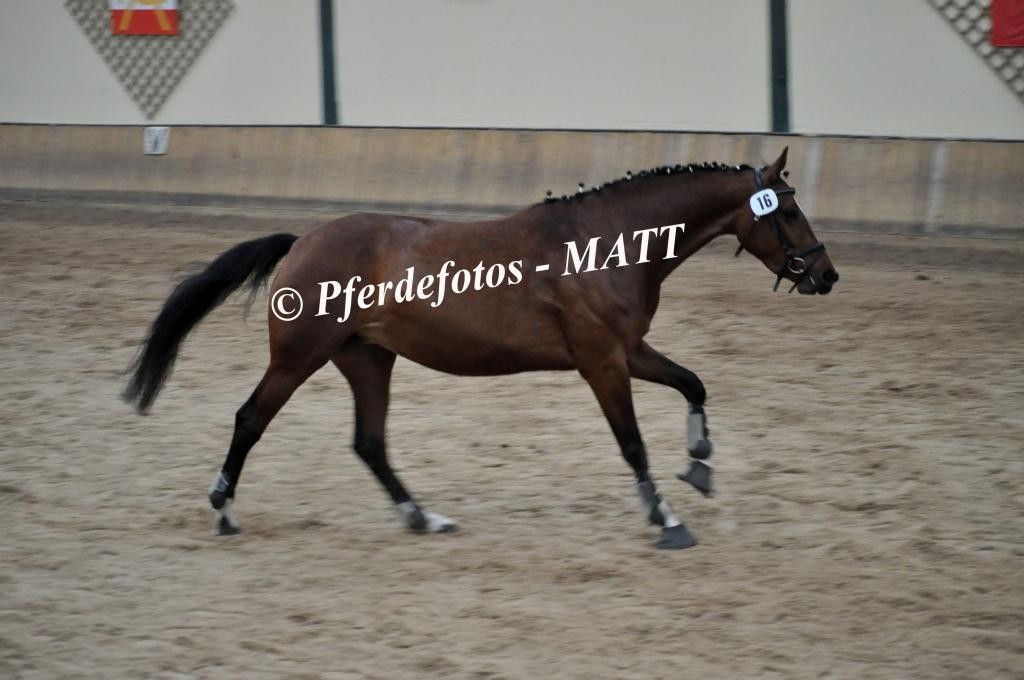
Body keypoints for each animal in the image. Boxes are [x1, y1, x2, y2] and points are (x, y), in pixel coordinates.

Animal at [123, 147, 835, 548]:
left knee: (370, 443)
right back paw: (223, 513)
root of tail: (302, 242)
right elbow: (632, 444)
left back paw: (424, 519)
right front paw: (667, 519)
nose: (826, 275)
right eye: (788, 210)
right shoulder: (602, 363)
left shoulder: (626, 352)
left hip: (368, 359)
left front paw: (700, 465)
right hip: (298, 358)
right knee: (251, 420)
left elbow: (692, 383)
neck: (606, 244)